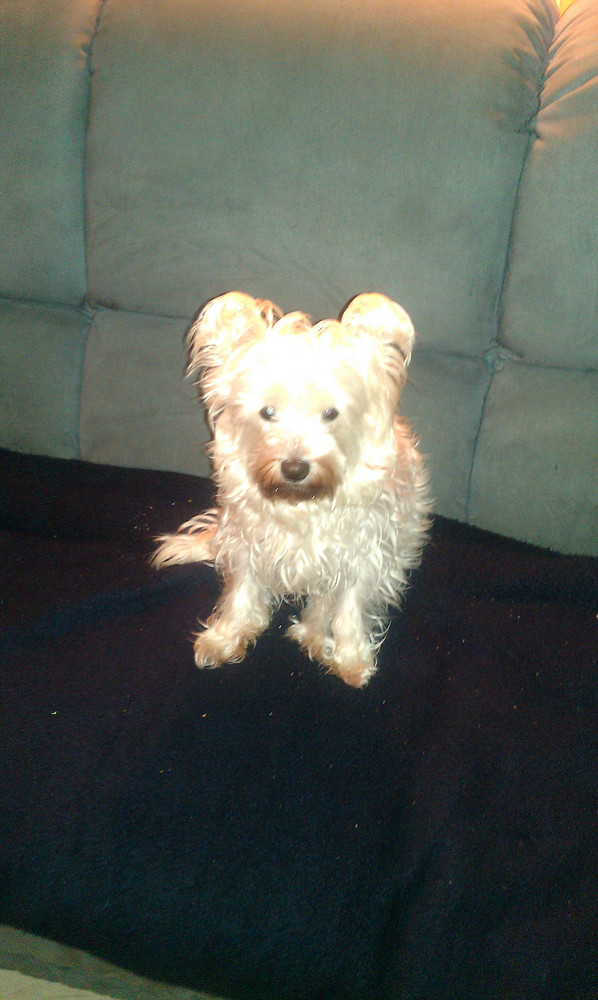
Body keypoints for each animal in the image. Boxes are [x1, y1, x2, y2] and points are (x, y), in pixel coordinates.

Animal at [153, 291, 430, 687]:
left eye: (331, 414)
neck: (301, 504)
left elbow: (350, 607)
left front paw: (351, 657)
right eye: (267, 412)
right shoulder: (249, 541)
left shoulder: (365, 553)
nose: (295, 468)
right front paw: (225, 637)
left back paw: (314, 633)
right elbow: (242, 593)